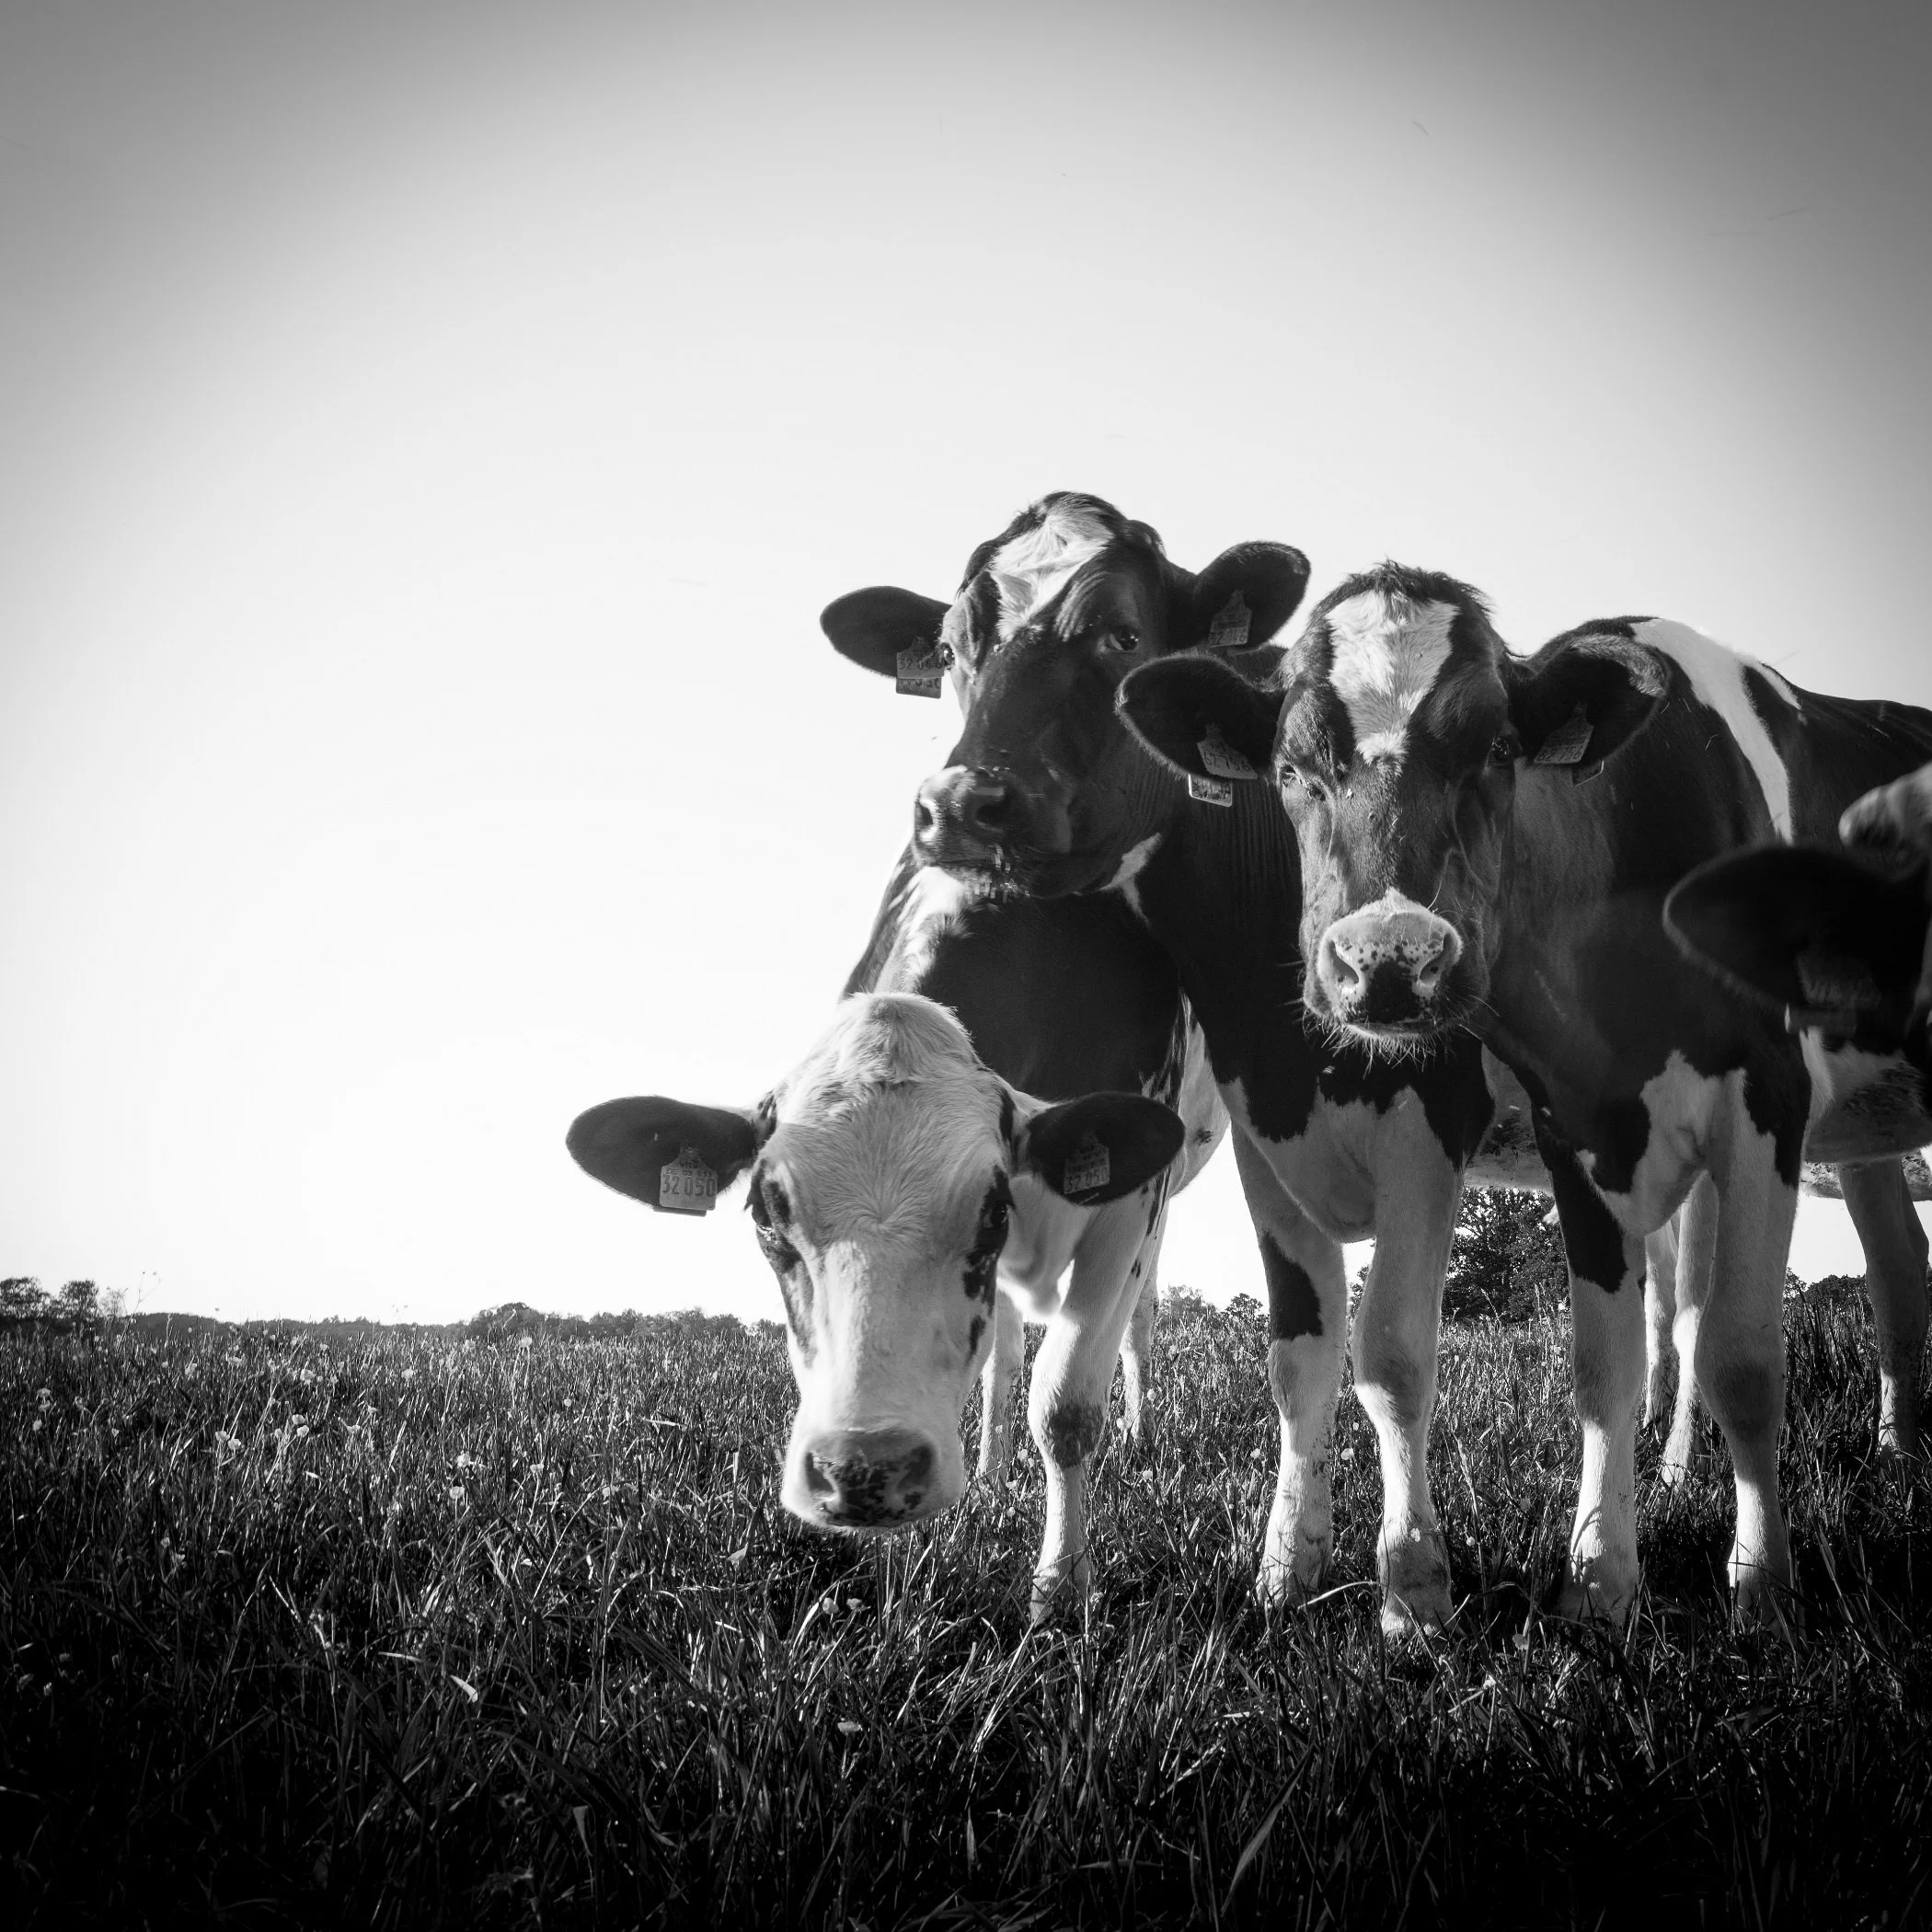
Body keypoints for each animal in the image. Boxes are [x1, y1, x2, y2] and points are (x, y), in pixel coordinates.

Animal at [569, 991, 1188, 1607]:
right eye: (765, 1213)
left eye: (995, 1212)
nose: (867, 1471)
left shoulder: (1136, 1207)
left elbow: (1065, 1407)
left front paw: (1060, 1586)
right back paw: (992, 1475)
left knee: (1138, 1323)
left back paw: (1137, 1437)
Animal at [1118, 566, 1932, 1622]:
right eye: (1292, 768)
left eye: (1498, 749)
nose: (1389, 961)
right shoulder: (1573, 1125)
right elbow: (1604, 1365)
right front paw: (1601, 1583)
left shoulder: (1767, 1102)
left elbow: (1744, 1357)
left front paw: (1761, 1589)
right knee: (1892, 1266)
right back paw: (1893, 1462)